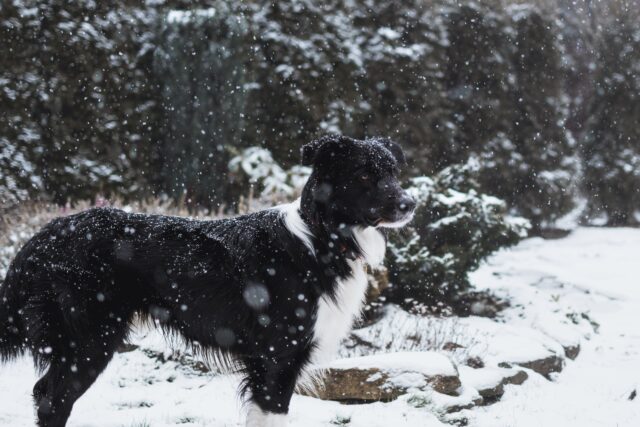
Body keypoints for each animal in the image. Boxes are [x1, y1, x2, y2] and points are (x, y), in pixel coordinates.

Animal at [0, 135, 418, 426]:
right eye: (363, 175)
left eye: (393, 173)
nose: (409, 203)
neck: (320, 237)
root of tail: (42, 237)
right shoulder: (278, 359)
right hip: (90, 339)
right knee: (51, 400)